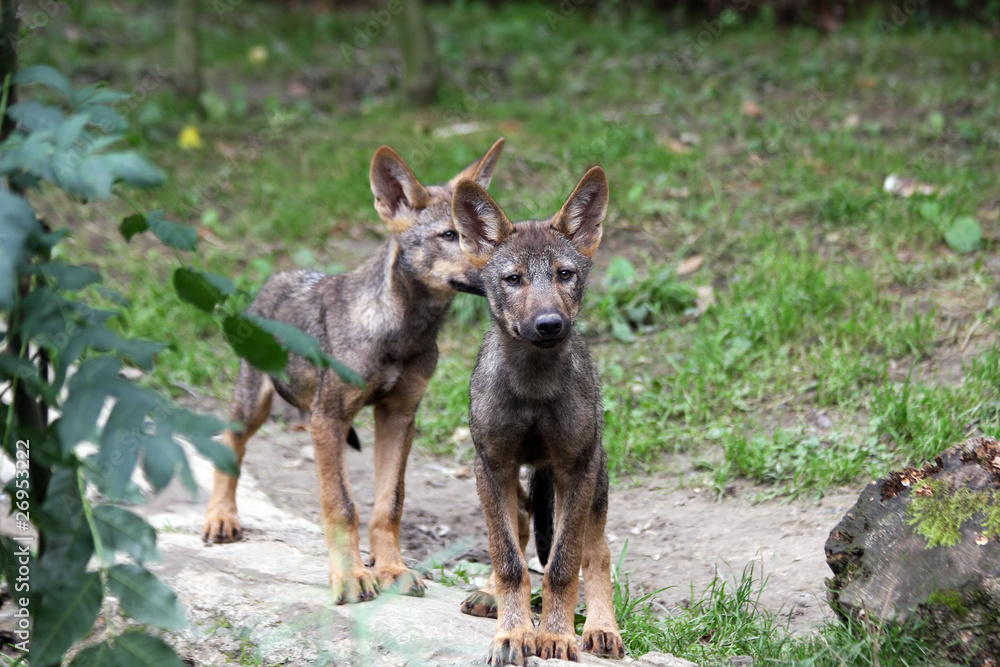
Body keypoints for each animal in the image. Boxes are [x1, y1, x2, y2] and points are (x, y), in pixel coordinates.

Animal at [202, 139, 505, 605]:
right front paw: (350, 577)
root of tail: (273, 279)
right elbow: (341, 505)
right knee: (228, 444)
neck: (403, 333)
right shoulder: (328, 418)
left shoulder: (399, 416)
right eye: (450, 235)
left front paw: (392, 568)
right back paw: (221, 518)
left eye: (487, 230)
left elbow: (389, 503)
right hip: (253, 402)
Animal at [452, 166, 624, 664]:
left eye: (565, 274)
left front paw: (557, 636)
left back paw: (601, 629)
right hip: (514, 480)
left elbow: (563, 566)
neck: (533, 388)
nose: (549, 324)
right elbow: (508, 560)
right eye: (513, 279)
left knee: (597, 553)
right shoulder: (492, 465)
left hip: (594, 480)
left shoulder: (576, 468)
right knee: (520, 532)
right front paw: (513, 634)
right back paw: (489, 596)